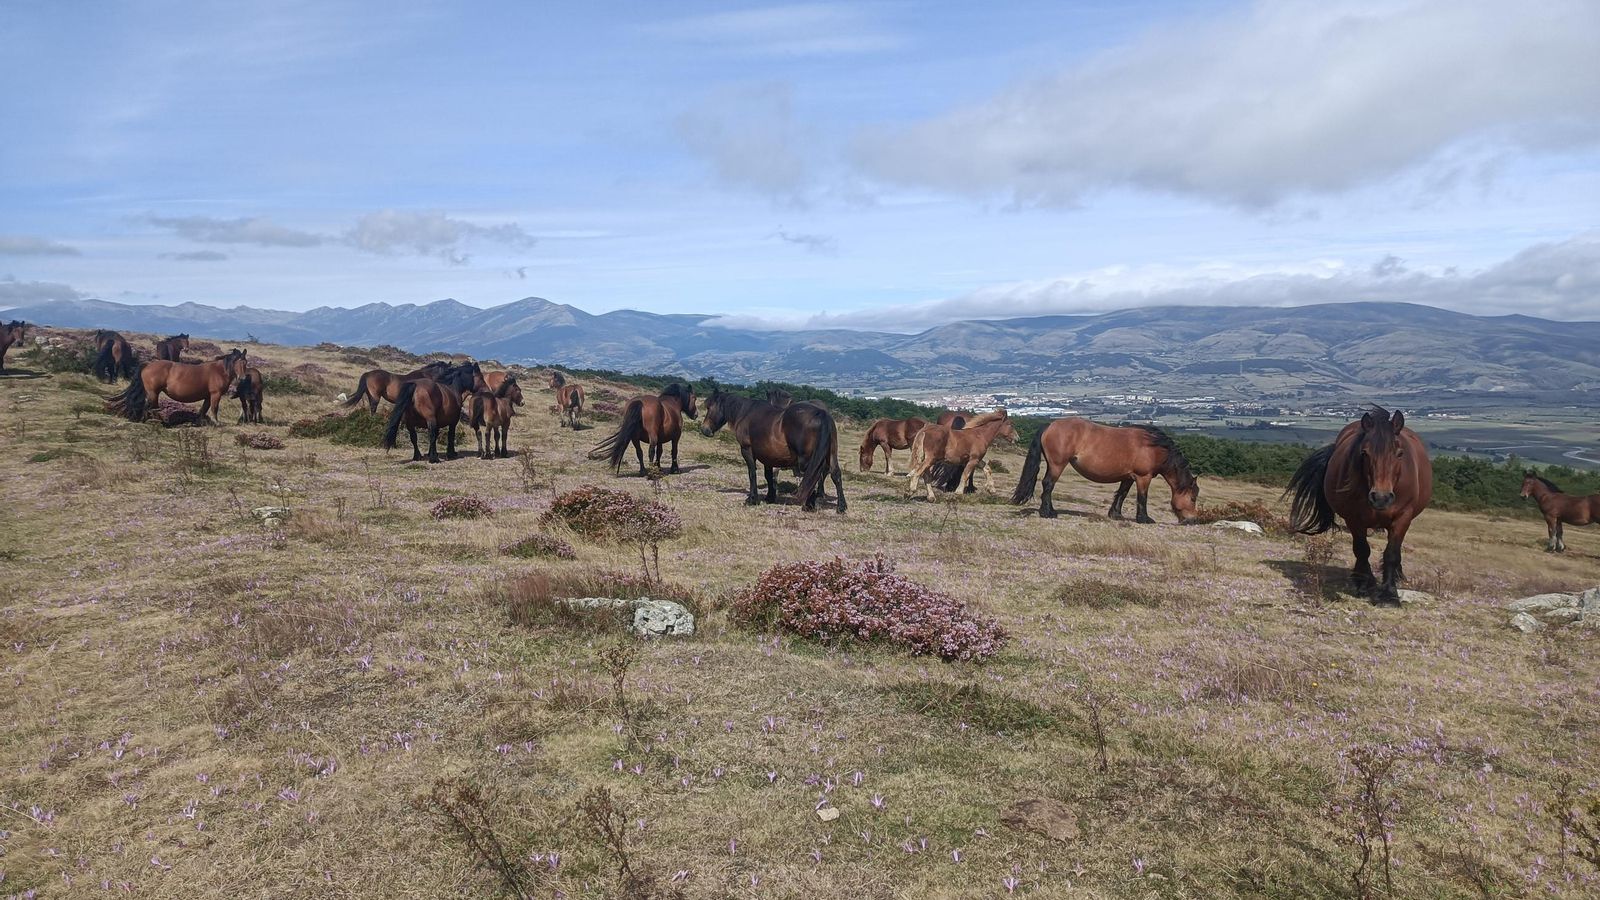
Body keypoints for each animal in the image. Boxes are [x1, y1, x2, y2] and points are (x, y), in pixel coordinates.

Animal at [107, 348, 250, 425]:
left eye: (245, 362)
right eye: (237, 361)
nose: (243, 378)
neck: (219, 371)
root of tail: (147, 365)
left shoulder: (208, 397)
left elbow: (203, 410)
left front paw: (199, 422)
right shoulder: (215, 394)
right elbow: (214, 408)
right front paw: (216, 422)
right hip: (153, 393)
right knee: (150, 407)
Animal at [700, 388, 846, 513]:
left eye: (709, 407)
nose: (704, 429)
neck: (746, 413)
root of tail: (821, 414)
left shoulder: (747, 450)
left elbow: (752, 474)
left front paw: (752, 499)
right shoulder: (769, 456)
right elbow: (769, 476)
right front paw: (770, 497)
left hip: (807, 459)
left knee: (813, 475)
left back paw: (809, 504)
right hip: (830, 454)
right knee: (835, 474)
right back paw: (840, 507)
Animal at [1012, 418, 1200, 524]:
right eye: (1192, 498)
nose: (1192, 520)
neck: (1154, 447)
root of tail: (1050, 425)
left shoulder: (1128, 477)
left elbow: (1122, 494)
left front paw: (1116, 514)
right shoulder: (1143, 477)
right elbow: (1142, 498)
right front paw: (1144, 519)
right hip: (1058, 465)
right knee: (1048, 485)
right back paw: (1047, 513)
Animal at [1286, 407, 1432, 606]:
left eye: (1400, 453)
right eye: (1365, 453)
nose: (1381, 498)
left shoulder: (1402, 517)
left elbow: (1392, 554)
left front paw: (1389, 595)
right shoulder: (1354, 519)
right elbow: (1362, 550)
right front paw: (1365, 585)